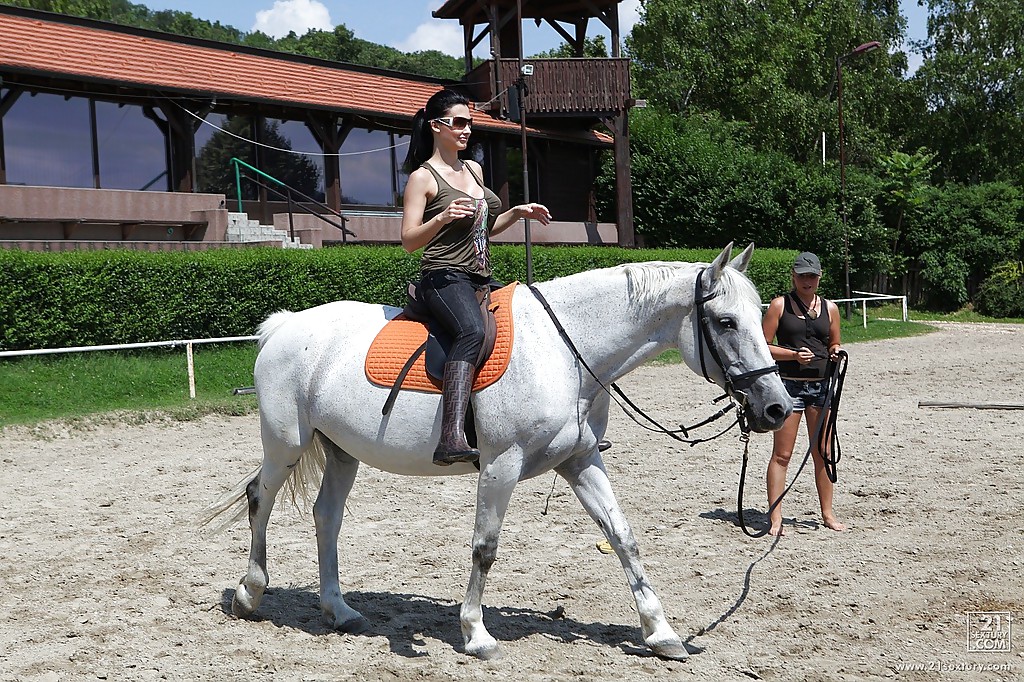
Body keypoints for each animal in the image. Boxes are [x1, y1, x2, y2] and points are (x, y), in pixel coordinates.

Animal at [203, 242, 792, 661]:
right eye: (726, 323)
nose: (777, 408)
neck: (566, 350)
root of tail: (284, 326)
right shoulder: (501, 465)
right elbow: (484, 548)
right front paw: (475, 633)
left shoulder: (581, 461)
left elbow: (623, 537)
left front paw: (660, 631)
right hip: (286, 444)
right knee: (259, 499)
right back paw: (249, 594)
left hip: (342, 451)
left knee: (326, 517)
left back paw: (339, 610)